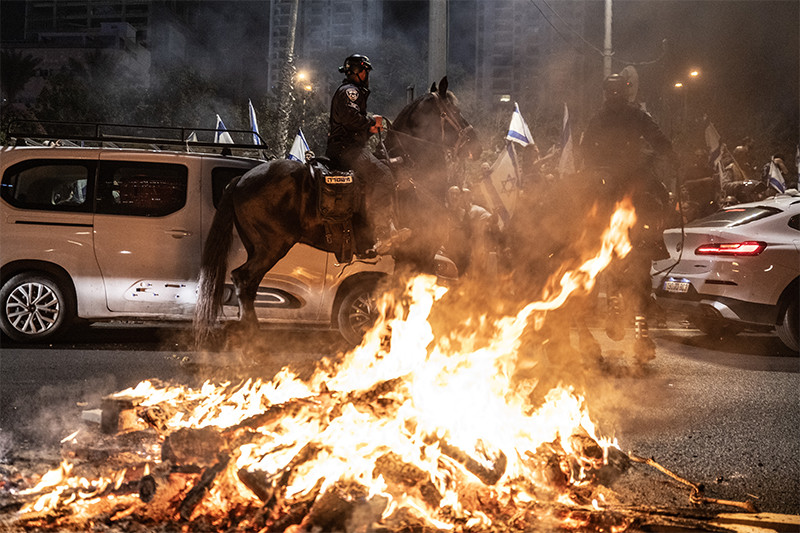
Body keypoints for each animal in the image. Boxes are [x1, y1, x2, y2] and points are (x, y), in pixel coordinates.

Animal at [194, 77, 482, 342]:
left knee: (247, 283)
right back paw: (253, 334)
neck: (415, 172)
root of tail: (241, 179)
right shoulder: (418, 252)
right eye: (452, 111)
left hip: (257, 246)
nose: (475, 145)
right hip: (271, 246)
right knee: (244, 280)